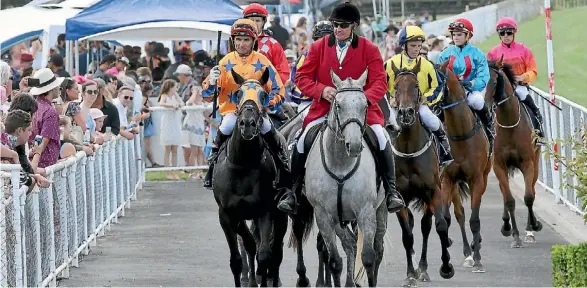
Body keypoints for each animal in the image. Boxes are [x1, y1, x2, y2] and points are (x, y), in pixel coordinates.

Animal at [215, 68, 290, 286]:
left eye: (263, 95)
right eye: (238, 93)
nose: (247, 123)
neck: (244, 165)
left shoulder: (265, 211)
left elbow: (264, 255)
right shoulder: (227, 214)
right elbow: (237, 257)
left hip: (280, 214)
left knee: (276, 249)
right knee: (250, 243)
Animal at [304, 68, 390, 286]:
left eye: (364, 105)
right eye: (338, 105)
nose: (355, 145)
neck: (341, 163)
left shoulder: (366, 212)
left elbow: (368, 258)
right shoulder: (324, 216)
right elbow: (335, 260)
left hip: (381, 210)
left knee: (378, 250)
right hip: (338, 220)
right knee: (350, 244)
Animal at [392, 60, 458, 286]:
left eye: (415, 86)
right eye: (396, 87)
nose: (406, 113)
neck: (409, 149)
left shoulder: (433, 191)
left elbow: (439, 226)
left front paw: (446, 267)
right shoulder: (400, 197)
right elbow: (406, 235)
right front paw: (410, 274)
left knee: (426, 226)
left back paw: (424, 268)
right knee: (414, 225)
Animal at [438, 60, 494, 272]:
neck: (460, 135)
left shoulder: (476, 178)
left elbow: (475, 220)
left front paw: (477, 257)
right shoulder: (447, 178)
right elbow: (449, 217)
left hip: (484, 176)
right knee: (459, 214)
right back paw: (467, 252)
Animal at [484, 56, 544, 248]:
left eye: (494, 81)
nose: (485, 107)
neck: (509, 124)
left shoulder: (528, 162)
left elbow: (529, 197)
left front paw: (533, 227)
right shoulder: (499, 164)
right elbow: (509, 199)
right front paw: (515, 235)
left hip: (536, 160)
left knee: (532, 189)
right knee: (505, 193)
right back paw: (506, 226)